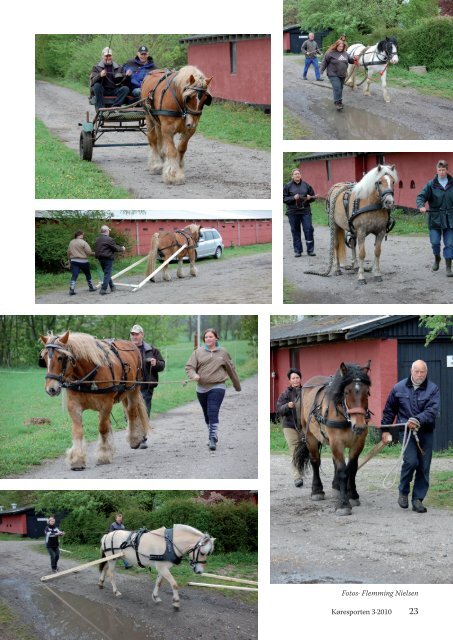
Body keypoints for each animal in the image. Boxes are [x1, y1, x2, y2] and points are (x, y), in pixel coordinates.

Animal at [39, 330, 148, 470]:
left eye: (61, 357)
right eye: (44, 358)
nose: (50, 389)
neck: (88, 375)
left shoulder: (106, 404)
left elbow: (102, 428)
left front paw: (103, 455)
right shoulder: (74, 405)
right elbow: (78, 431)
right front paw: (77, 459)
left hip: (133, 389)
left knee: (131, 412)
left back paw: (134, 439)